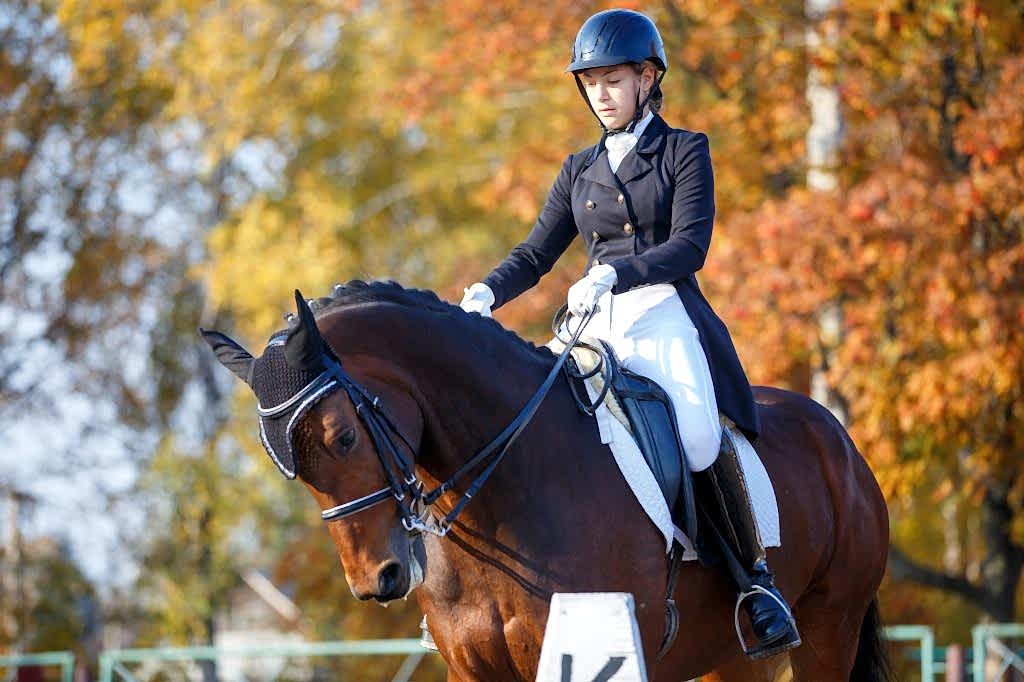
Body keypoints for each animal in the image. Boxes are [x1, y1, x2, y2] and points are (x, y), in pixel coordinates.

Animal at [201, 280, 892, 682]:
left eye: (343, 437)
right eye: (286, 466)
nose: (379, 580)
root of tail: (838, 440)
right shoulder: (475, 674)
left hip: (828, 630)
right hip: (729, 657)